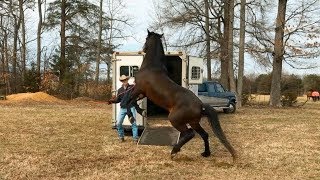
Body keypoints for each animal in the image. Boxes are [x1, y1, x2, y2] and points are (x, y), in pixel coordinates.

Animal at [128, 30, 238, 161]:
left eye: (146, 39)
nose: (143, 49)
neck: (151, 67)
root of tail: (200, 105)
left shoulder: (138, 89)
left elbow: (130, 101)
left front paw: (137, 114)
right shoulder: (142, 93)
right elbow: (132, 101)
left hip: (175, 120)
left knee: (189, 134)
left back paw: (174, 151)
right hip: (194, 122)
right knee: (204, 134)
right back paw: (205, 153)